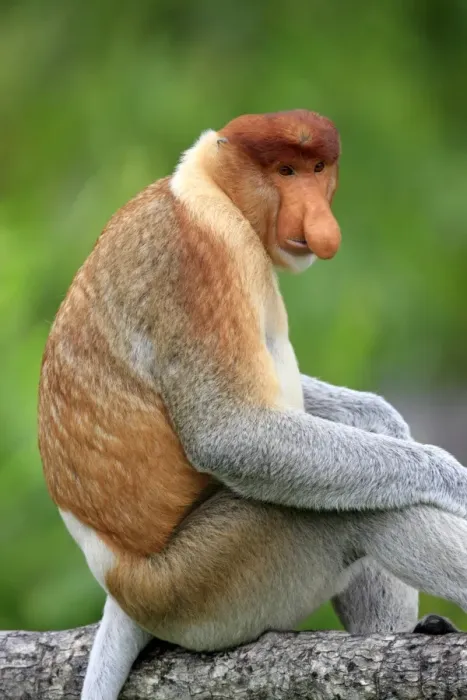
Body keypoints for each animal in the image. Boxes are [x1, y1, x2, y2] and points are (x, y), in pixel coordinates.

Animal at [38, 110, 466, 700]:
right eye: (284, 171)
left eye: (318, 169)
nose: (320, 221)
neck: (208, 187)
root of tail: (121, 588)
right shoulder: (200, 257)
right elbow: (230, 434)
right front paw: (453, 479)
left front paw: (387, 422)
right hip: (209, 582)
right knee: (372, 514)